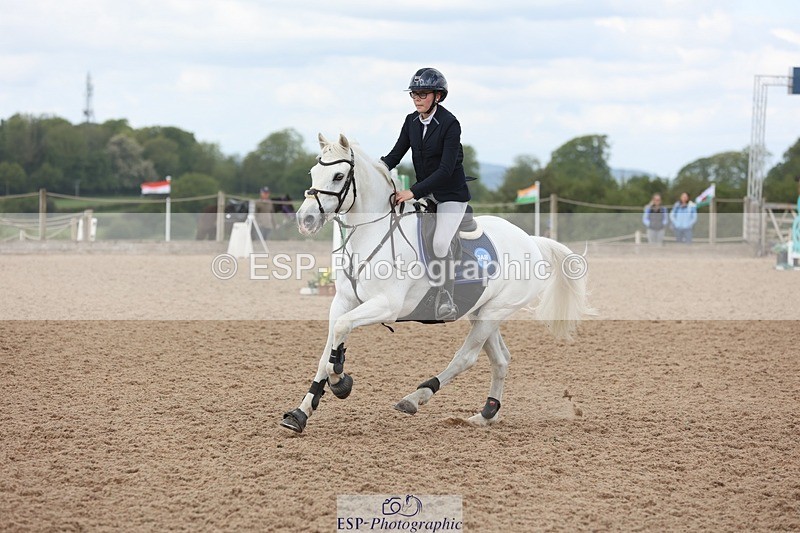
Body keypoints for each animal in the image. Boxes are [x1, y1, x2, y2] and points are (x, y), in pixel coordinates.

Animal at [281, 133, 596, 433]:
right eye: (313, 173)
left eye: (338, 176)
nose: (306, 219)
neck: (373, 233)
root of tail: (531, 240)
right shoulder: (343, 302)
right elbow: (328, 350)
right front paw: (301, 413)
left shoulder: (387, 306)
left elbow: (342, 329)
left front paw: (340, 381)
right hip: (481, 311)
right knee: (500, 359)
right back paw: (486, 414)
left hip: (495, 311)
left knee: (466, 357)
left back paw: (416, 398)